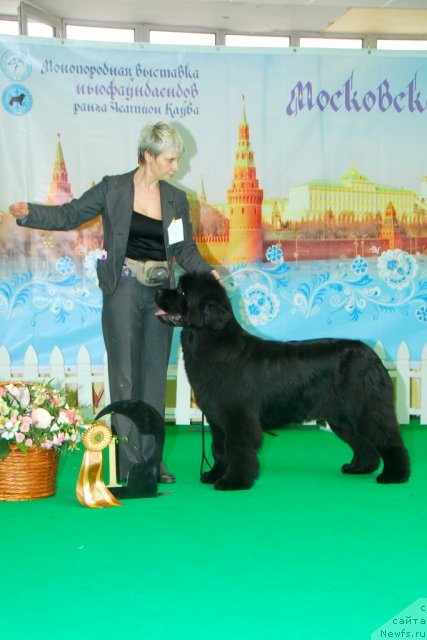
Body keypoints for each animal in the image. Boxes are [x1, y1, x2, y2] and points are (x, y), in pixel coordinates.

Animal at [155, 272, 410, 490]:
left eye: (182, 291)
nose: (157, 290)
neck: (212, 341)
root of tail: (373, 354)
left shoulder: (238, 416)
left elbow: (236, 448)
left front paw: (234, 481)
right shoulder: (217, 418)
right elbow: (219, 449)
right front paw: (215, 475)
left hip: (366, 409)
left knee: (389, 439)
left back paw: (395, 475)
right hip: (342, 417)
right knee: (363, 442)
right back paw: (359, 467)